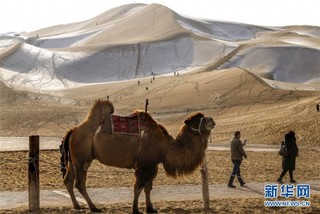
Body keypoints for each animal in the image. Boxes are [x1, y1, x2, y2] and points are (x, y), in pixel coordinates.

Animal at [61, 99, 216, 213]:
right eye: (198, 120)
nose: (212, 121)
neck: (166, 146)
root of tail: (73, 131)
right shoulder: (146, 165)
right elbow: (139, 186)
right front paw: (135, 209)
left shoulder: (151, 165)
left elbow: (147, 187)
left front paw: (150, 208)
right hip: (82, 158)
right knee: (79, 183)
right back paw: (94, 207)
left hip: (74, 159)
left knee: (68, 180)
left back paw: (77, 206)